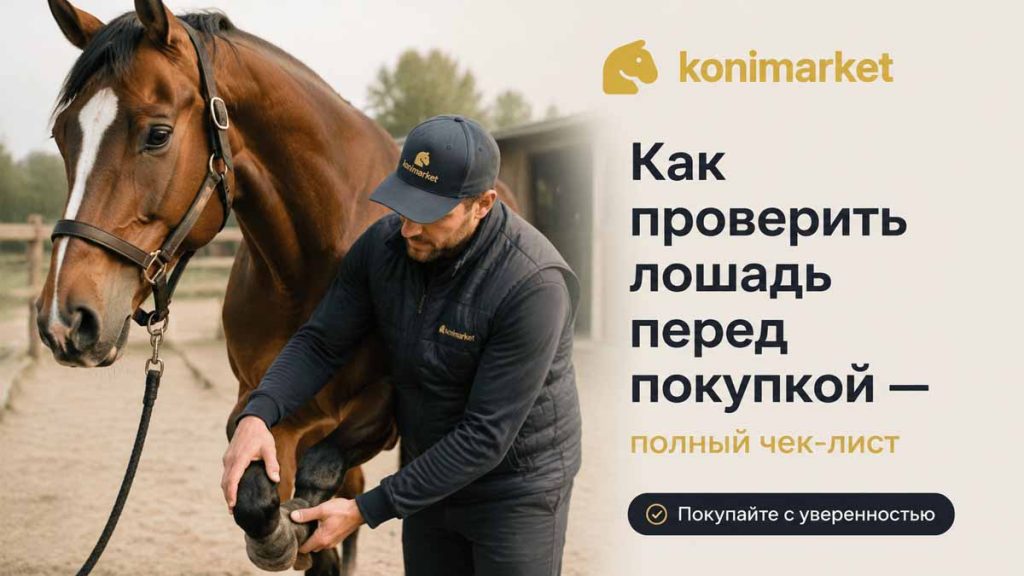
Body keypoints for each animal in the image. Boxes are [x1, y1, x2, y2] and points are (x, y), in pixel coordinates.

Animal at [38, 1, 514, 573]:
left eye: (157, 134)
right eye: (63, 135)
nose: (65, 321)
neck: (311, 262)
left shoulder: (380, 408)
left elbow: (319, 481)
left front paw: (298, 528)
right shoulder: (259, 403)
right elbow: (259, 492)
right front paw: (283, 534)